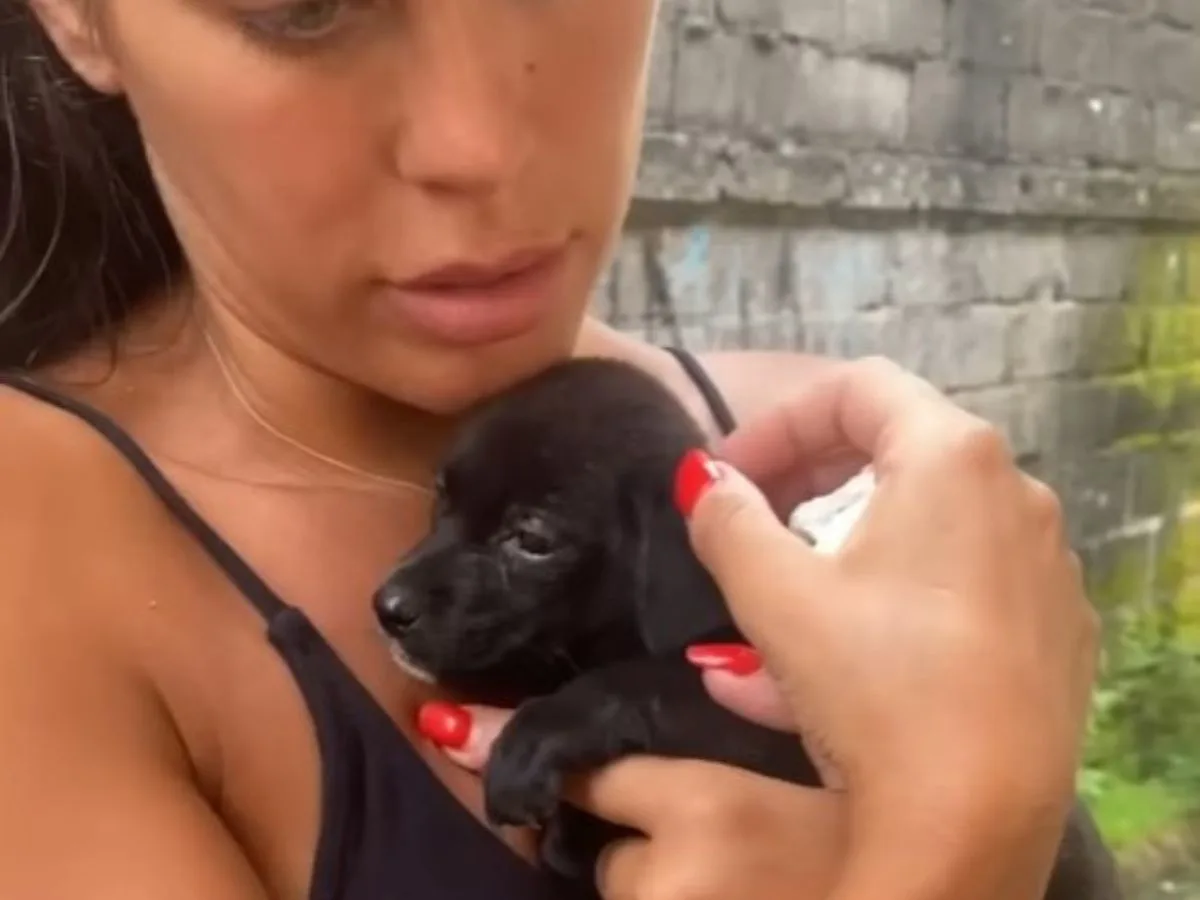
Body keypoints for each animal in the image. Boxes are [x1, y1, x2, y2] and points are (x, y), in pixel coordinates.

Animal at [372, 355, 1113, 900]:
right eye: (441, 497)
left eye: (531, 540)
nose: (386, 606)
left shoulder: (771, 727)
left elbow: (646, 684)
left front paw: (538, 737)